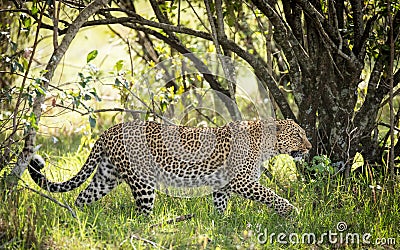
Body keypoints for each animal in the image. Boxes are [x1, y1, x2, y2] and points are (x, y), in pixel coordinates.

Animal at [29, 119, 312, 217]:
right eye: (298, 136)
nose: (310, 147)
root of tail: (108, 131)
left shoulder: (223, 184)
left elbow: (220, 204)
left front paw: (221, 222)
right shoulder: (242, 181)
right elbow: (271, 195)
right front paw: (292, 211)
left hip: (107, 177)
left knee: (81, 197)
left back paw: (79, 219)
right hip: (143, 181)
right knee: (142, 213)